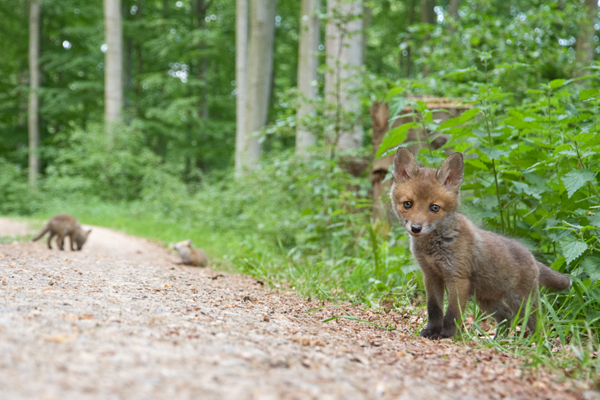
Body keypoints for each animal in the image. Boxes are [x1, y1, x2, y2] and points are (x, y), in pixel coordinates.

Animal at [392, 148, 568, 340]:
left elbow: (453, 313)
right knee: (506, 316)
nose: (416, 228)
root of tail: (531, 256)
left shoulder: (457, 278)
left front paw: (448, 334)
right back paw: (499, 340)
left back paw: (532, 343)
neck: (434, 247)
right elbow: (434, 309)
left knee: (538, 325)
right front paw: (432, 330)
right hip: (485, 299)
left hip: (521, 303)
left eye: (434, 208)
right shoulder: (431, 275)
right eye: (408, 204)